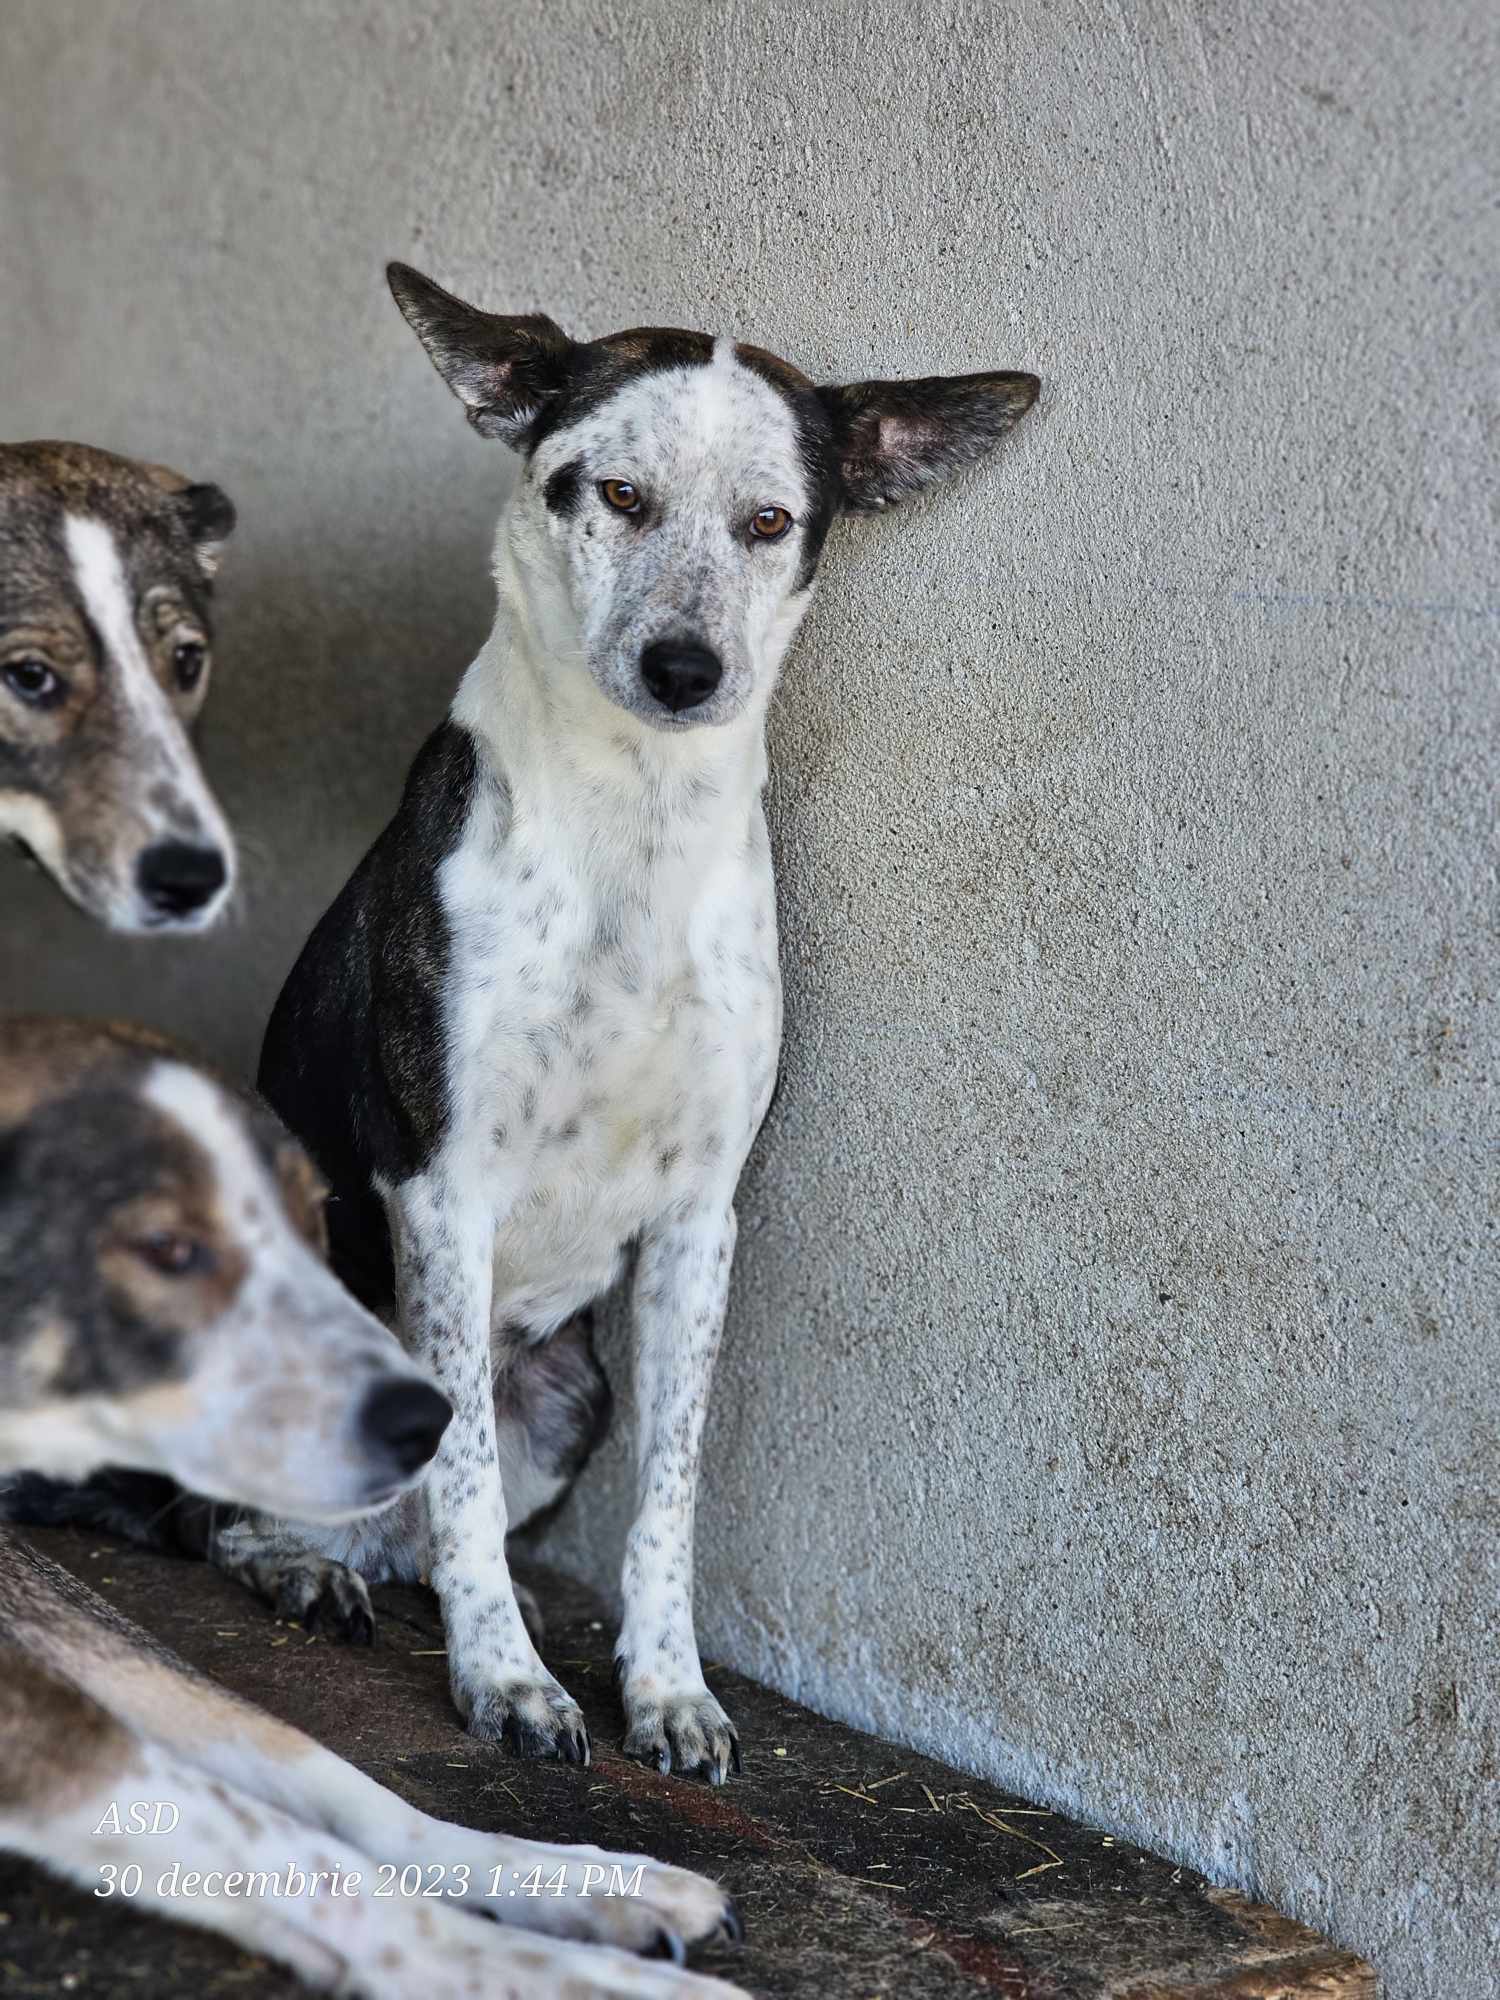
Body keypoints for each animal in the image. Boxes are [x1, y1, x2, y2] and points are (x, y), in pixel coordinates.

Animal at [85, 265, 1040, 1783]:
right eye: (615, 494)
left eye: (769, 521)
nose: (684, 666)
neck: (632, 828)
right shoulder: (441, 1191)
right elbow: (461, 1468)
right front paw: (505, 1682)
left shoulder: (703, 1220)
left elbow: (669, 1494)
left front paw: (665, 1687)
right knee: (236, 1518)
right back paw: (311, 1569)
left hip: (573, 1386)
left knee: (408, 1529)